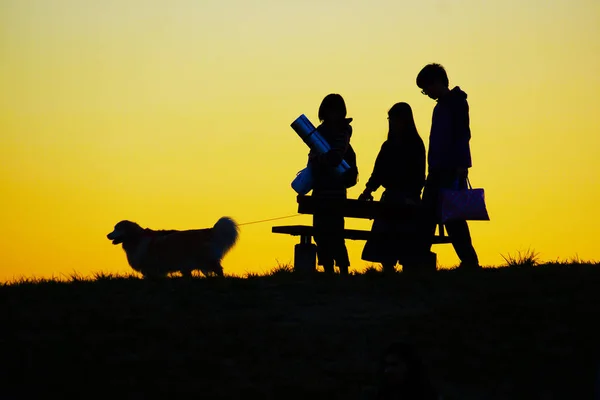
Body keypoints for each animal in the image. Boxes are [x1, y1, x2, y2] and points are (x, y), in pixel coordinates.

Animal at [108, 216, 239, 278]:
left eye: (117, 228)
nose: (107, 235)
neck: (136, 237)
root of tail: (208, 231)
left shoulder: (150, 266)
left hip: (206, 260)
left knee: (219, 270)